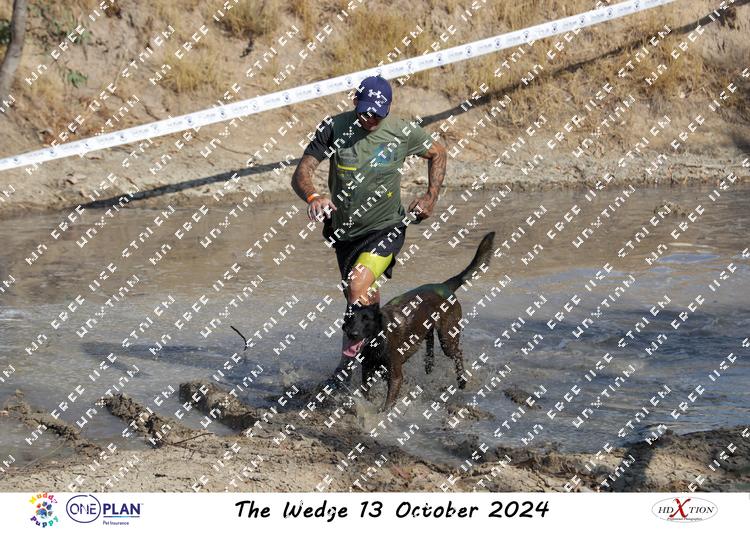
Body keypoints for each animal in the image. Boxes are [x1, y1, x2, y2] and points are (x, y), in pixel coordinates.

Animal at [342, 231, 495, 411]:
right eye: (350, 319)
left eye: (367, 320)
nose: (353, 334)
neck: (378, 340)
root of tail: (445, 286)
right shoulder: (367, 370)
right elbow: (365, 393)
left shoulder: (395, 375)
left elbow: (388, 404)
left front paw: (382, 413)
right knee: (430, 342)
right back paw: (429, 365)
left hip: (447, 338)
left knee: (457, 352)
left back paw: (462, 382)